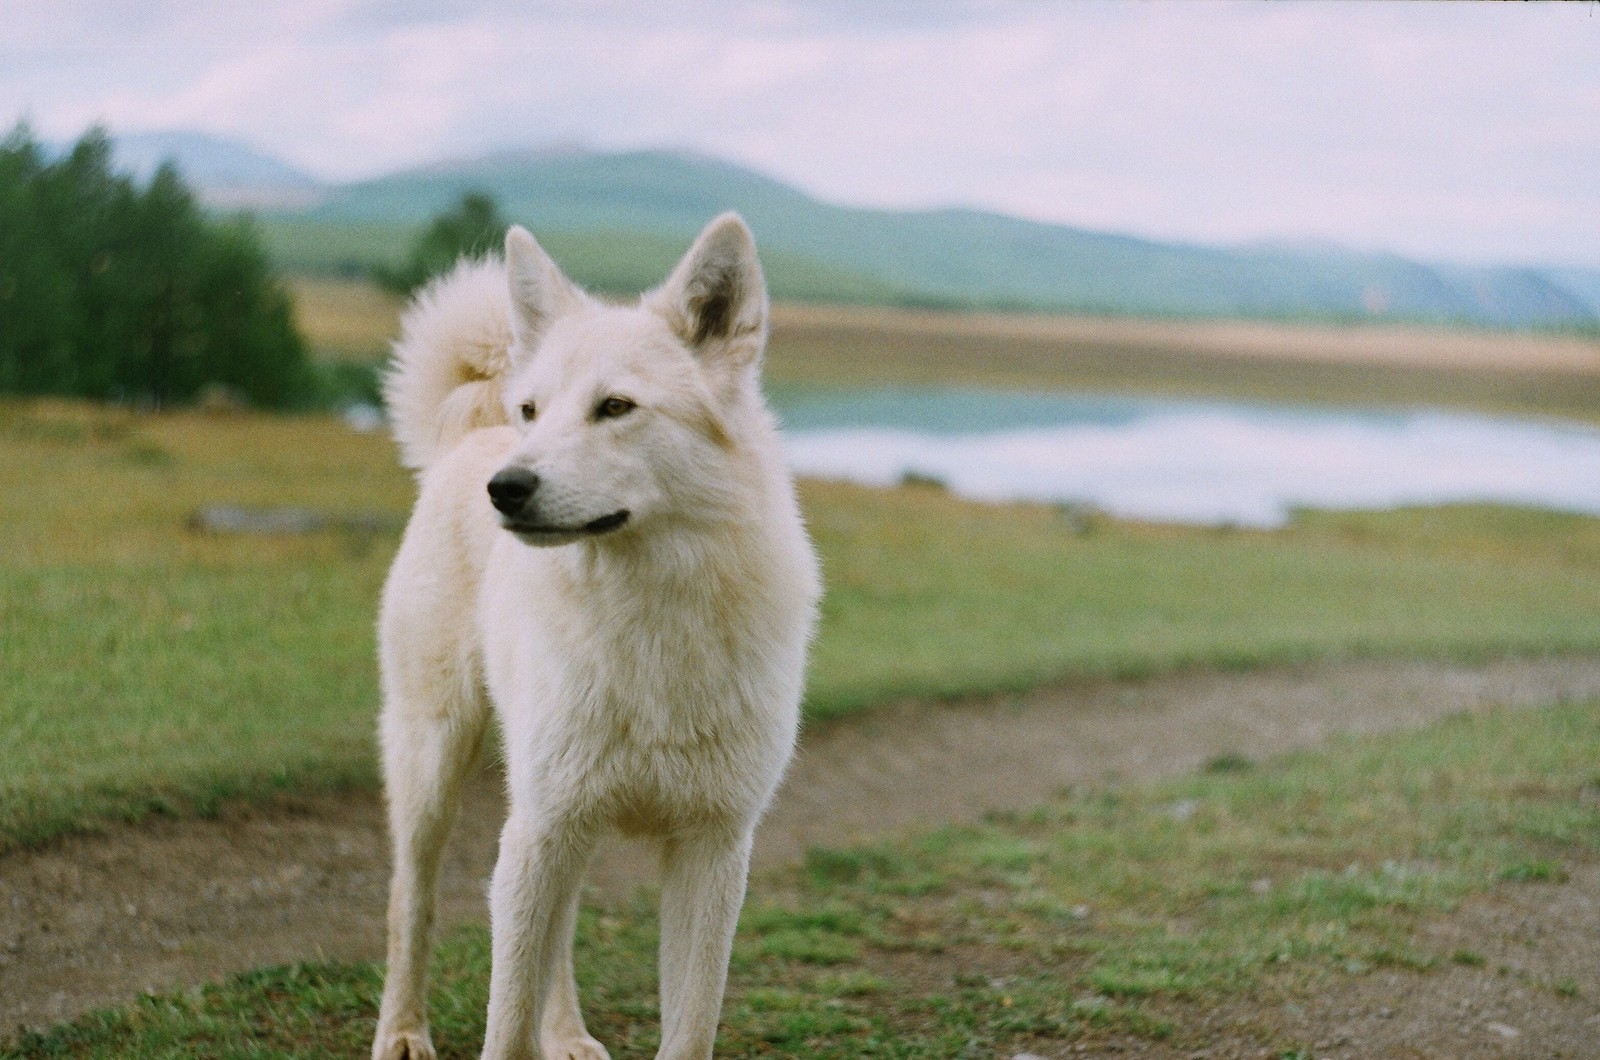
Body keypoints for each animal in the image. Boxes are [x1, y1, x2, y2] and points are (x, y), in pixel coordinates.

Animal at [369, 216, 819, 1060]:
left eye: (616, 407)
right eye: (533, 411)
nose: (506, 490)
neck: (648, 617)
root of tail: (469, 444)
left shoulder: (711, 852)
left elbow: (688, 1027)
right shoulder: (539, 832)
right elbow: (505, 1023)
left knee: (560, 935)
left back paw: (569, 1034)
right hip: (436, 763)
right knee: (410, 902)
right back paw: (404, 1032)